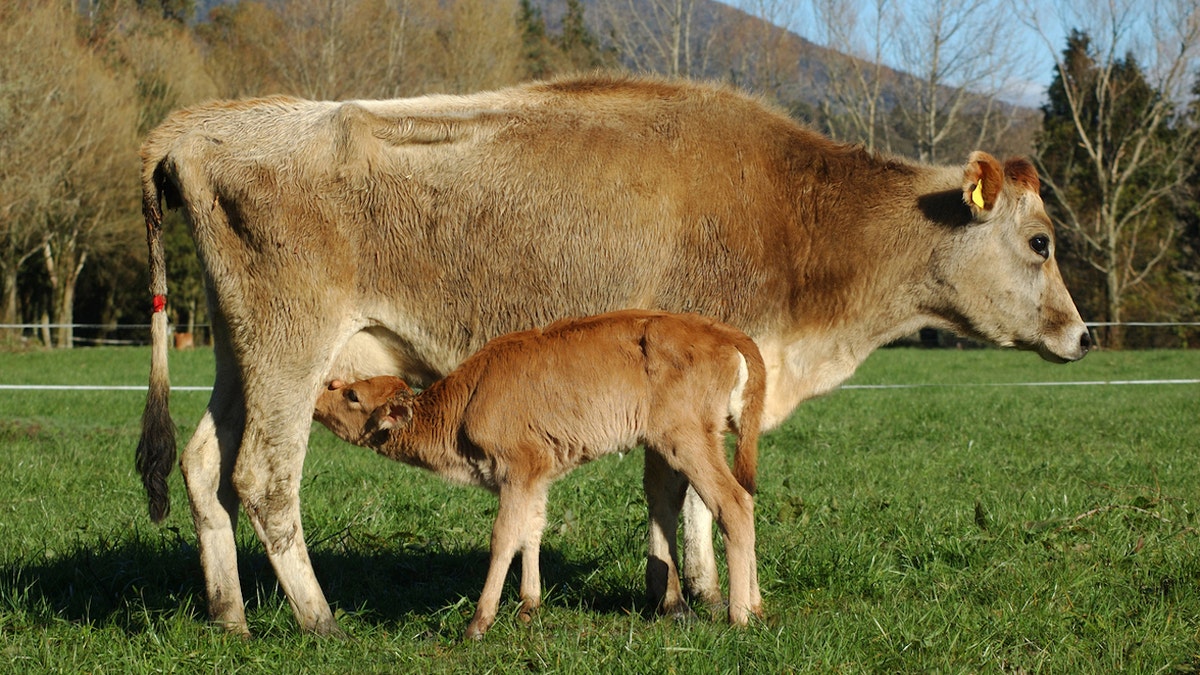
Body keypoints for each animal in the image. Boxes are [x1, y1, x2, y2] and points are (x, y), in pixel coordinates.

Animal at [309, 309, 758, 634]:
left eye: (351, 395)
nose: (315, 398)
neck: (466, 401)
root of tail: (722, 332)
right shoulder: (536, 477)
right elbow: (532, 531)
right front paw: (529, 607)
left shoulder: (517, 471)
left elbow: (504, 537)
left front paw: (479, 622)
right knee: (732, 501)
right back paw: (755, 605)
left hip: (688, 442)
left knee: (733, 504)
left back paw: (738, 616)